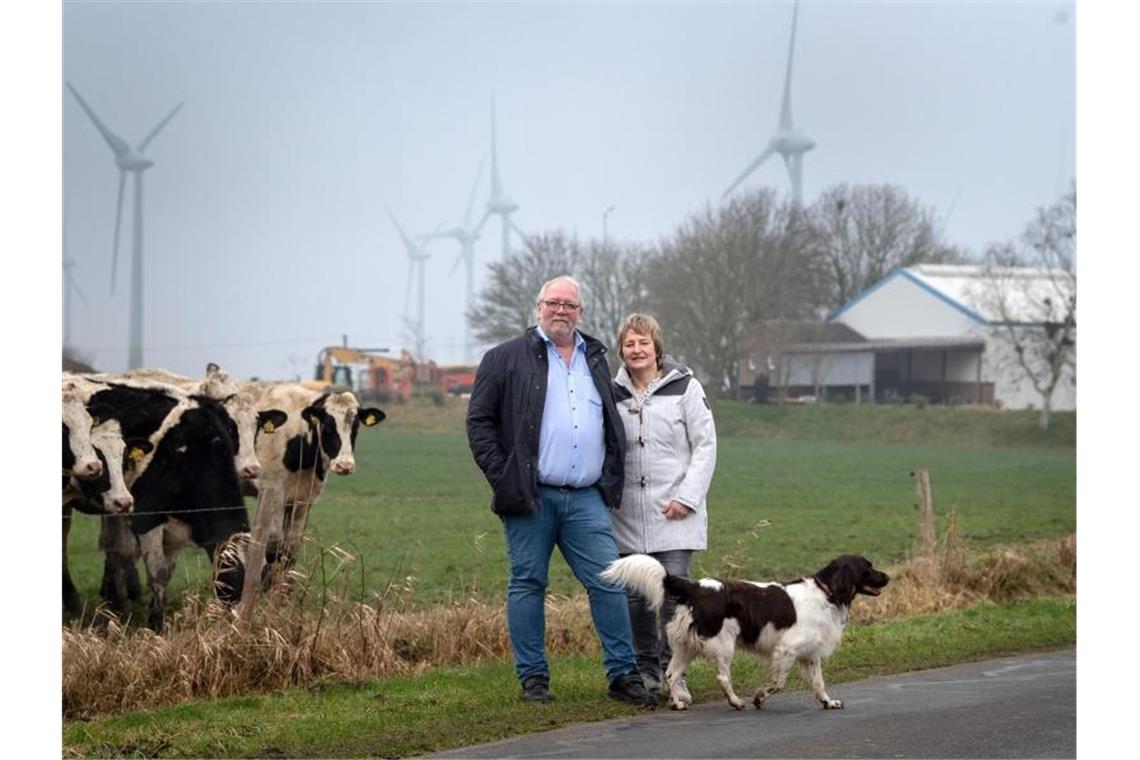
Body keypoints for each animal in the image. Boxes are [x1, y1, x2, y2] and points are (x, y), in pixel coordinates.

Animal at [601, 556, 884, 711]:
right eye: (867, 568)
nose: (888, 578)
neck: (825, 593)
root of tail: (695, 587)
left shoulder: (810, 654)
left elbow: (819, 683)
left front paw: (828, 702)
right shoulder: (787, 649)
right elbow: (778, 683)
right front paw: (759, 697)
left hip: (685, 645)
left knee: (671, 674)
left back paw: (678, 703)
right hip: (723, 643)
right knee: (722, 676)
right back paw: (736, 701)